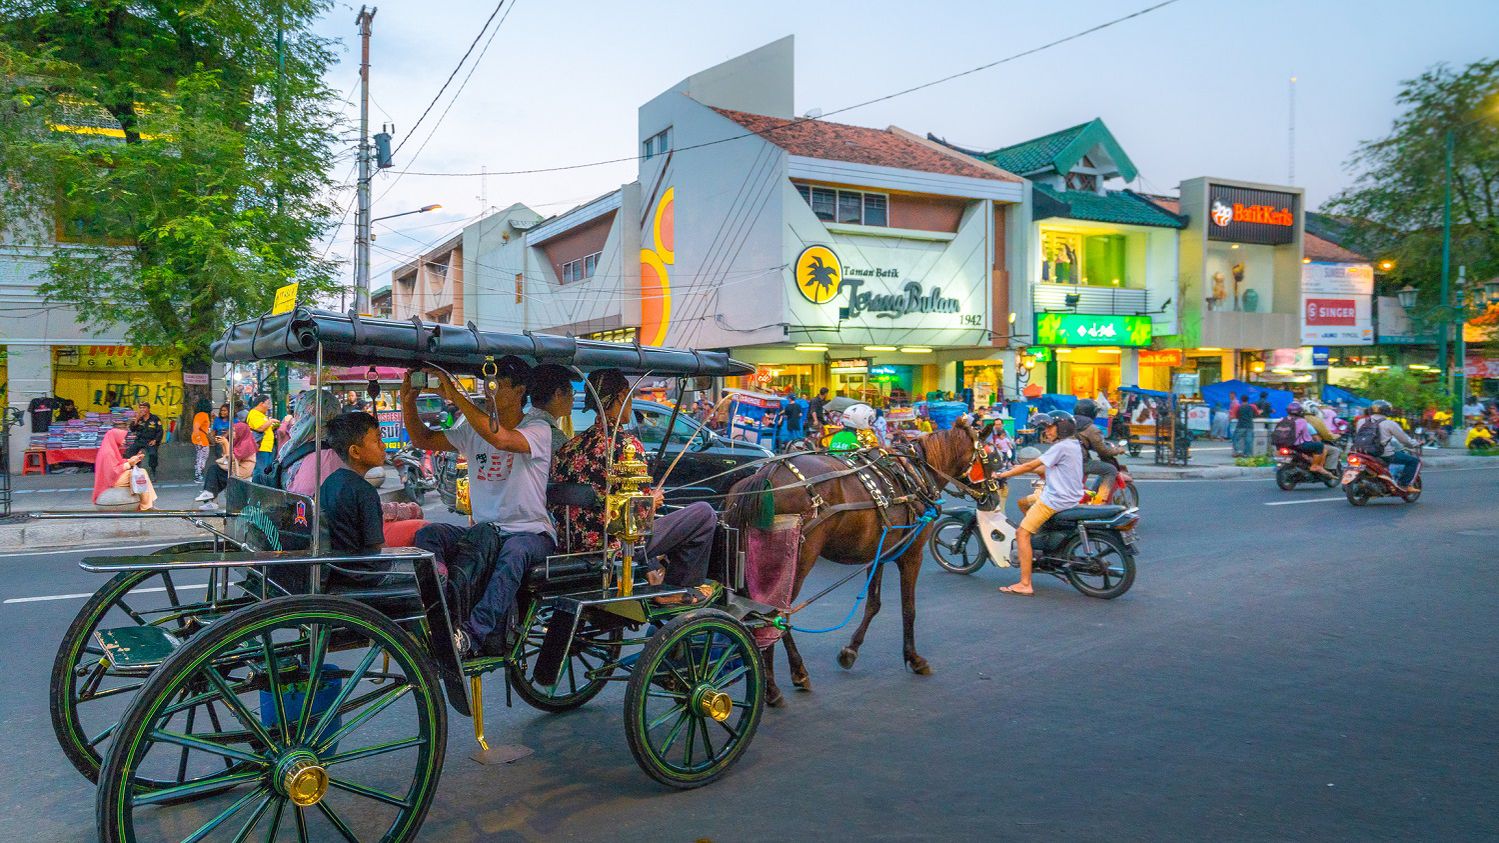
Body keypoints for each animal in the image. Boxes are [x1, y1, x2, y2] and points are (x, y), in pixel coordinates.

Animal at [722, 420, 983, 702]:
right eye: (990, 457)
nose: (992, 495)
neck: (913, 475)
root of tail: (768, 473)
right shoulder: (912, 553)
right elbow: (909, 609)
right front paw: (914, 658)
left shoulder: (879, 552)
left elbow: (873, 604)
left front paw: (850, 651)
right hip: (797, 559)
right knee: (775, 614)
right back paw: (781, 682)